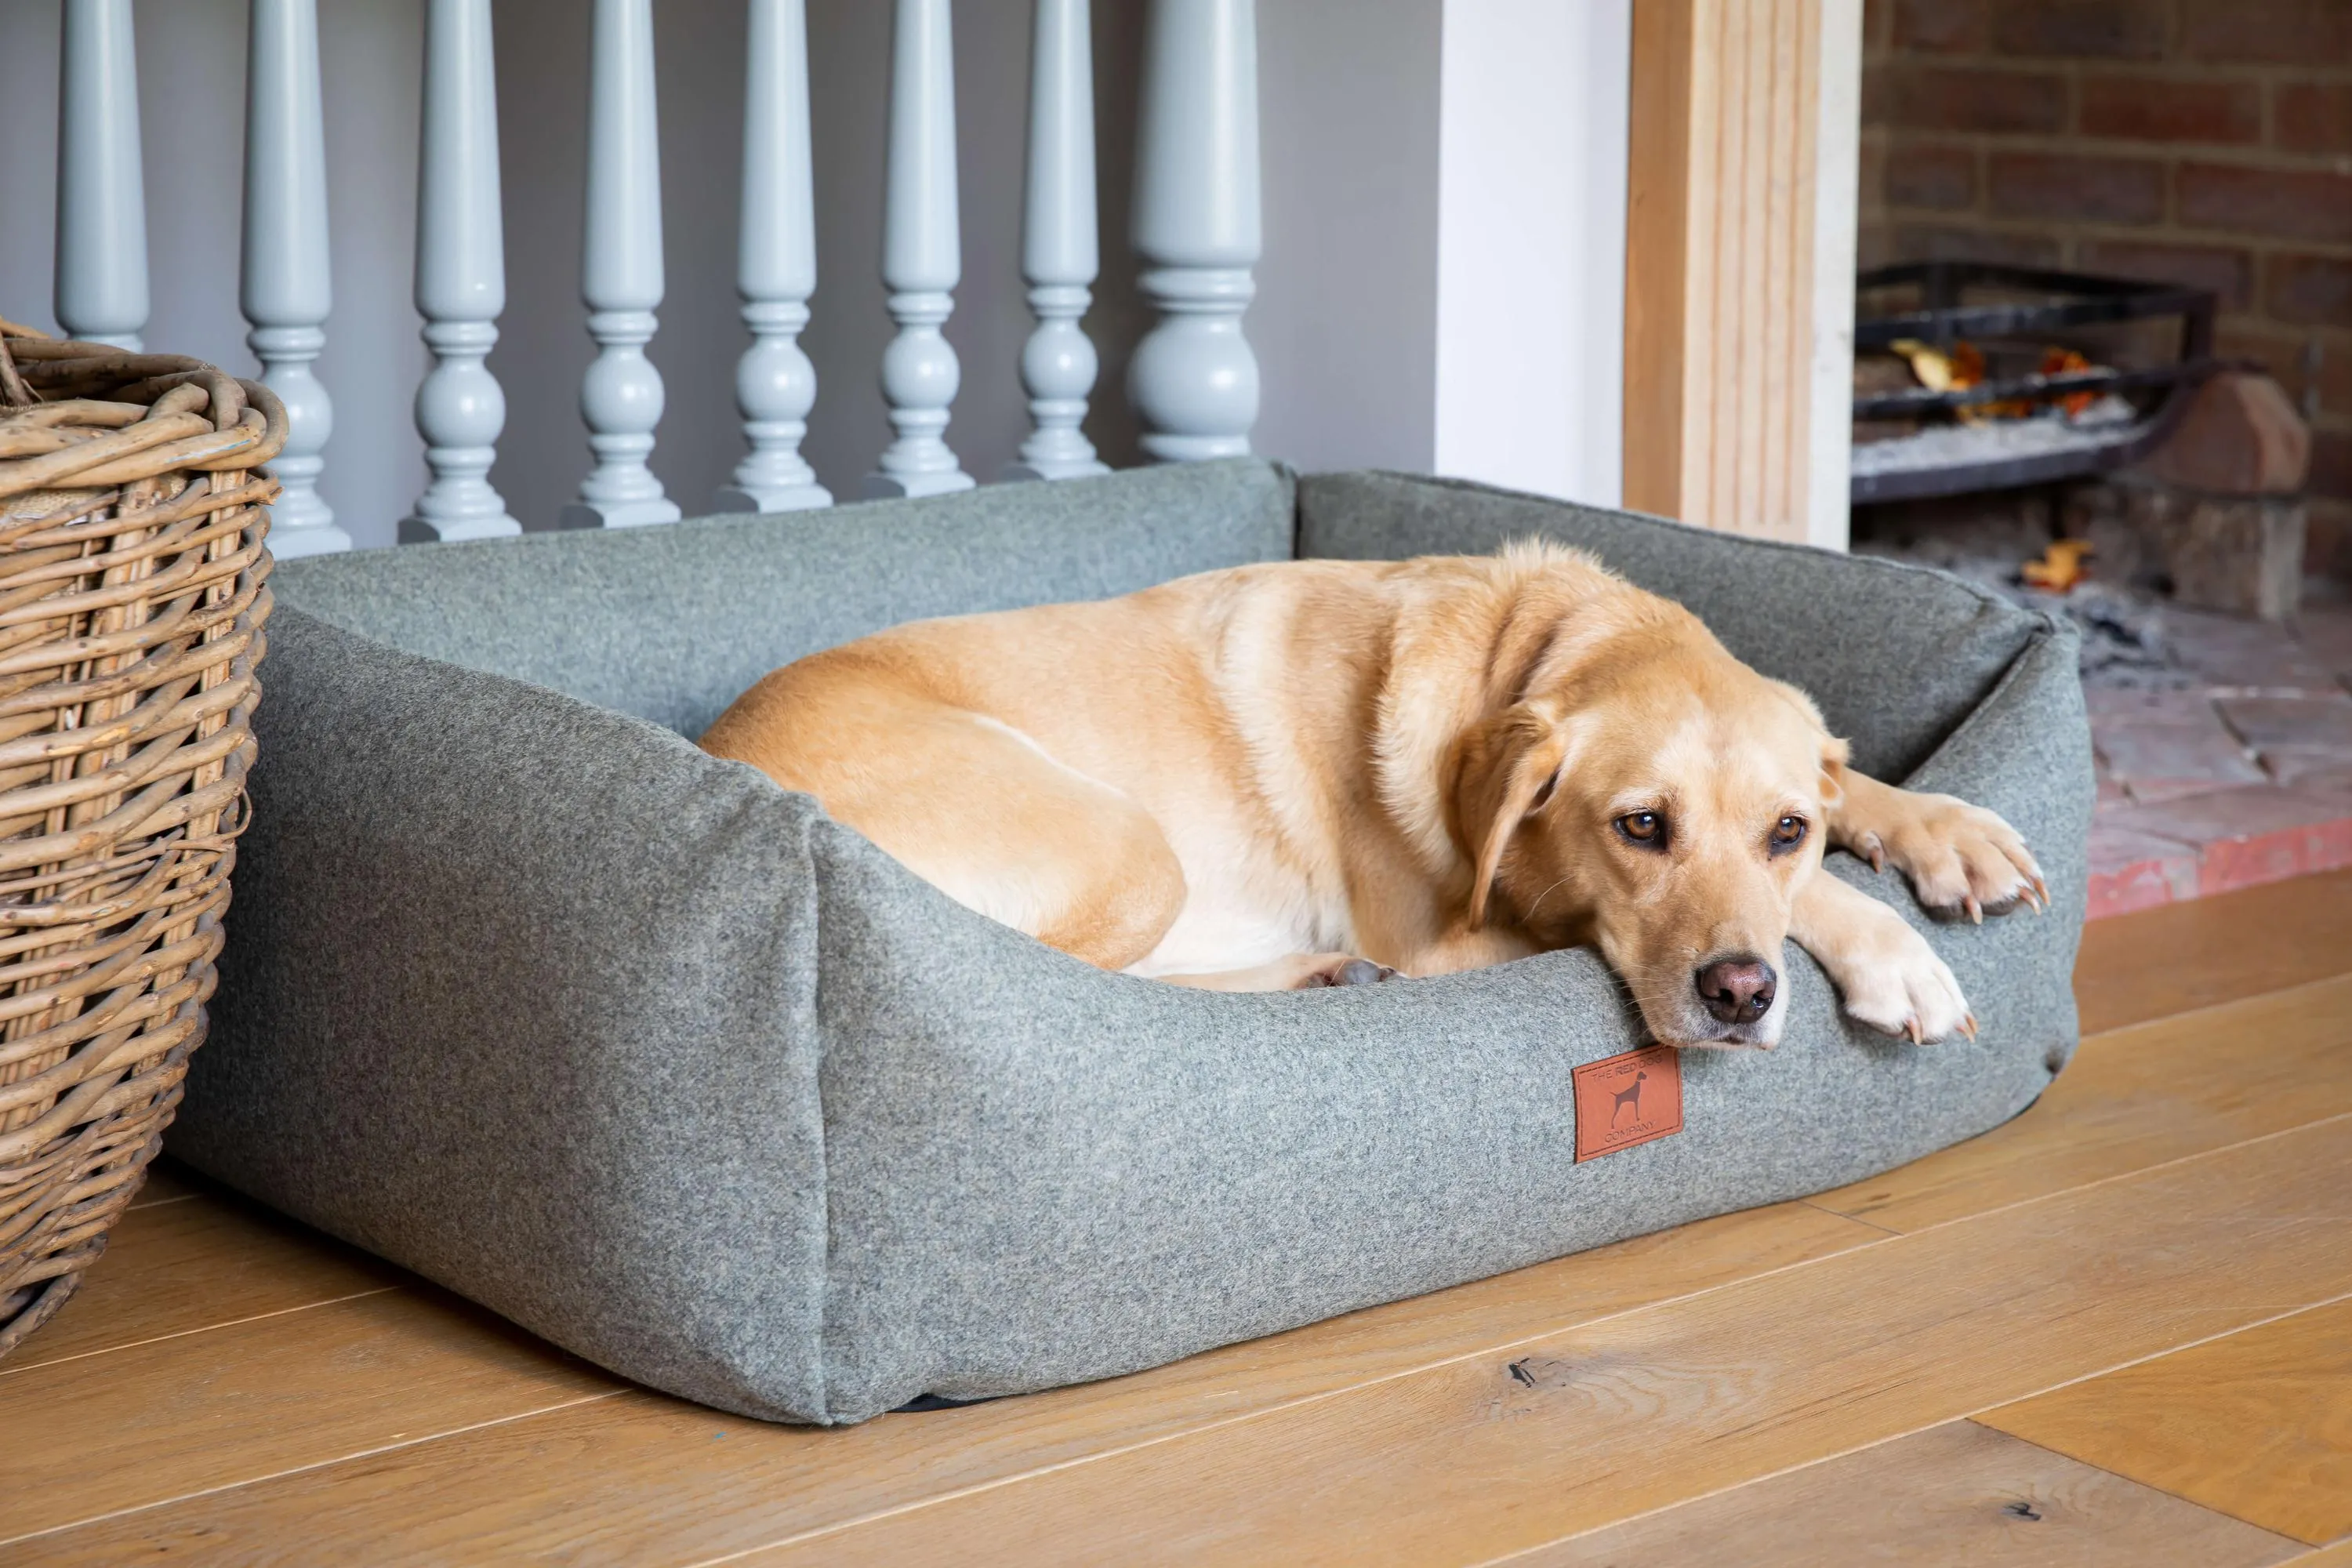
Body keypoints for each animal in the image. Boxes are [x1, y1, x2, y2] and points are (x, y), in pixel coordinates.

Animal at [696, 543, 2042, 1053]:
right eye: (1641, 827)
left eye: (1787, 831)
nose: (1741, 997)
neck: (1526, 651)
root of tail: (720, 746)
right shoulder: (1457, 936)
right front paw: (1892, 953)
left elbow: (1848, 785)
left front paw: (1944, 829)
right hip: (1132, 846)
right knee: (1083, 983)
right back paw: (1316, 977)